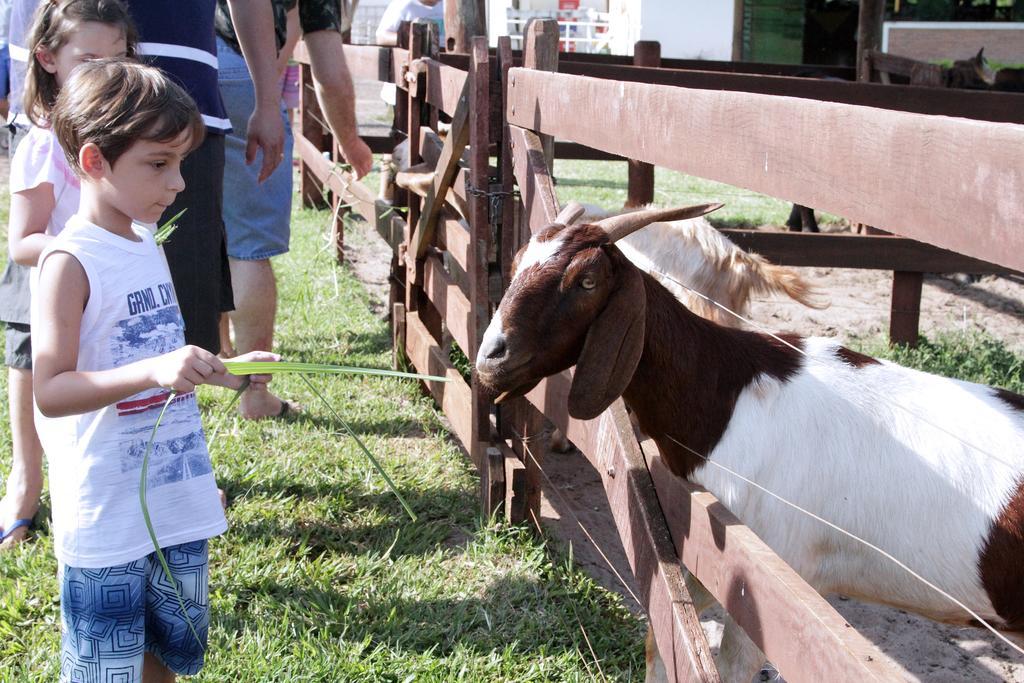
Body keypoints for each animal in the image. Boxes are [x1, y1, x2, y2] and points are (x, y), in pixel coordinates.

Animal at [475, 205, 1024, 679]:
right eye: (518, 262)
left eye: (586, 281)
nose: (490, 358)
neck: (729, 395)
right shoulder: (702, 558)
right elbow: (662, 637)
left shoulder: (768, 585)